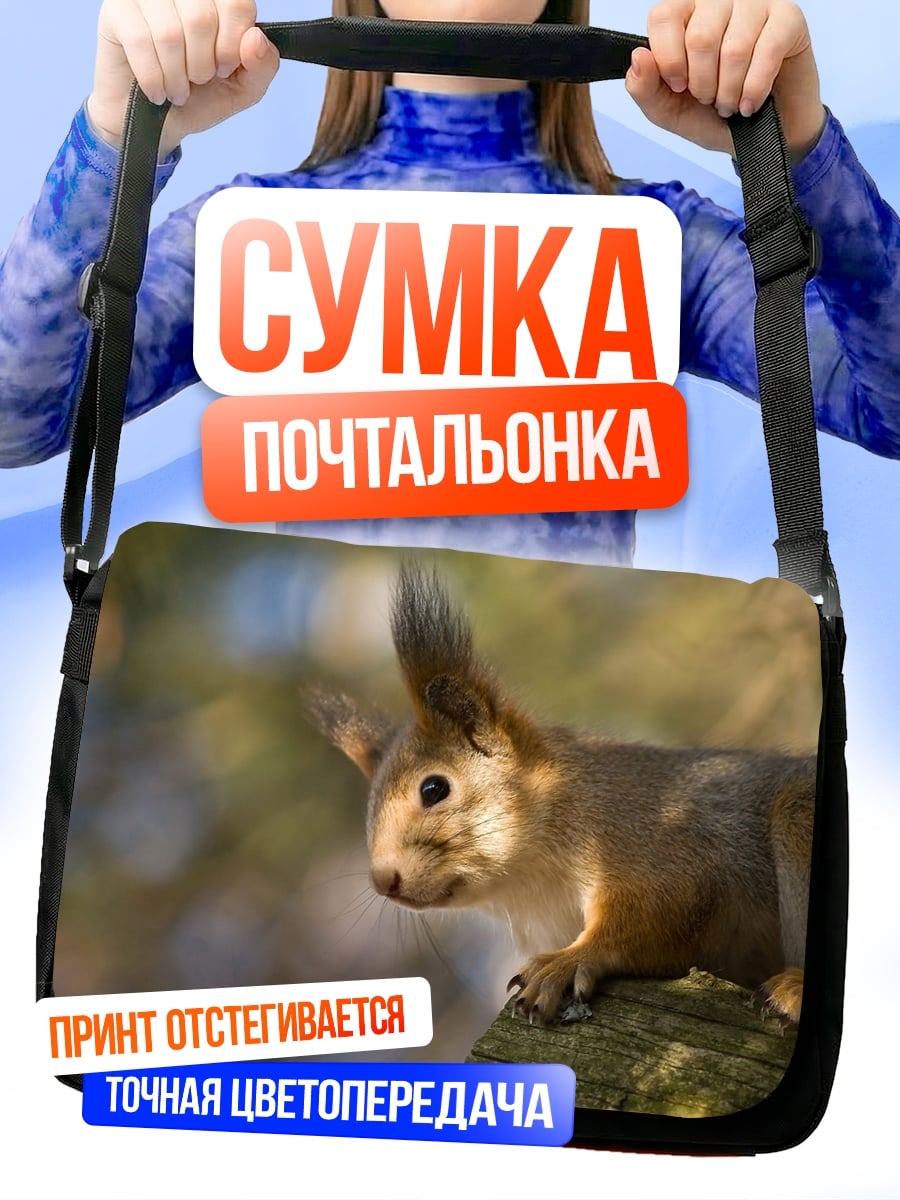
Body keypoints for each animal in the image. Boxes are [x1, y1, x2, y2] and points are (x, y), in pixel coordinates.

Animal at [305, 562, 814, 1026]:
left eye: (433, 788)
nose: (382, 880)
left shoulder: (655, 839)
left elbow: (658, 911)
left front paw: (565, 963)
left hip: (800, 817)